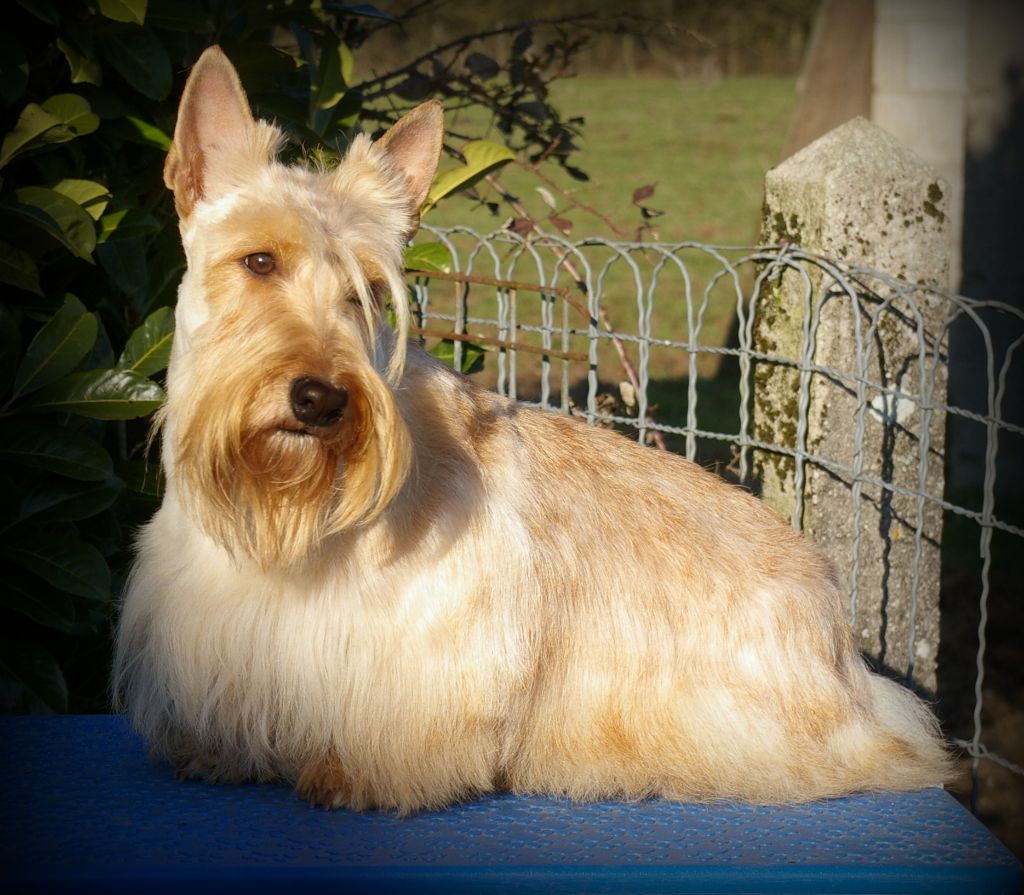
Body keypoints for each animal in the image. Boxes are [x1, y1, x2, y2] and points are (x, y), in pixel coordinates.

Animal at [108, 45, 946, 811]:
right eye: (258, 261)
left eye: (369, 291)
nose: (321, 399)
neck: (283, 514)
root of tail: (848, 655)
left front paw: (347, 774)